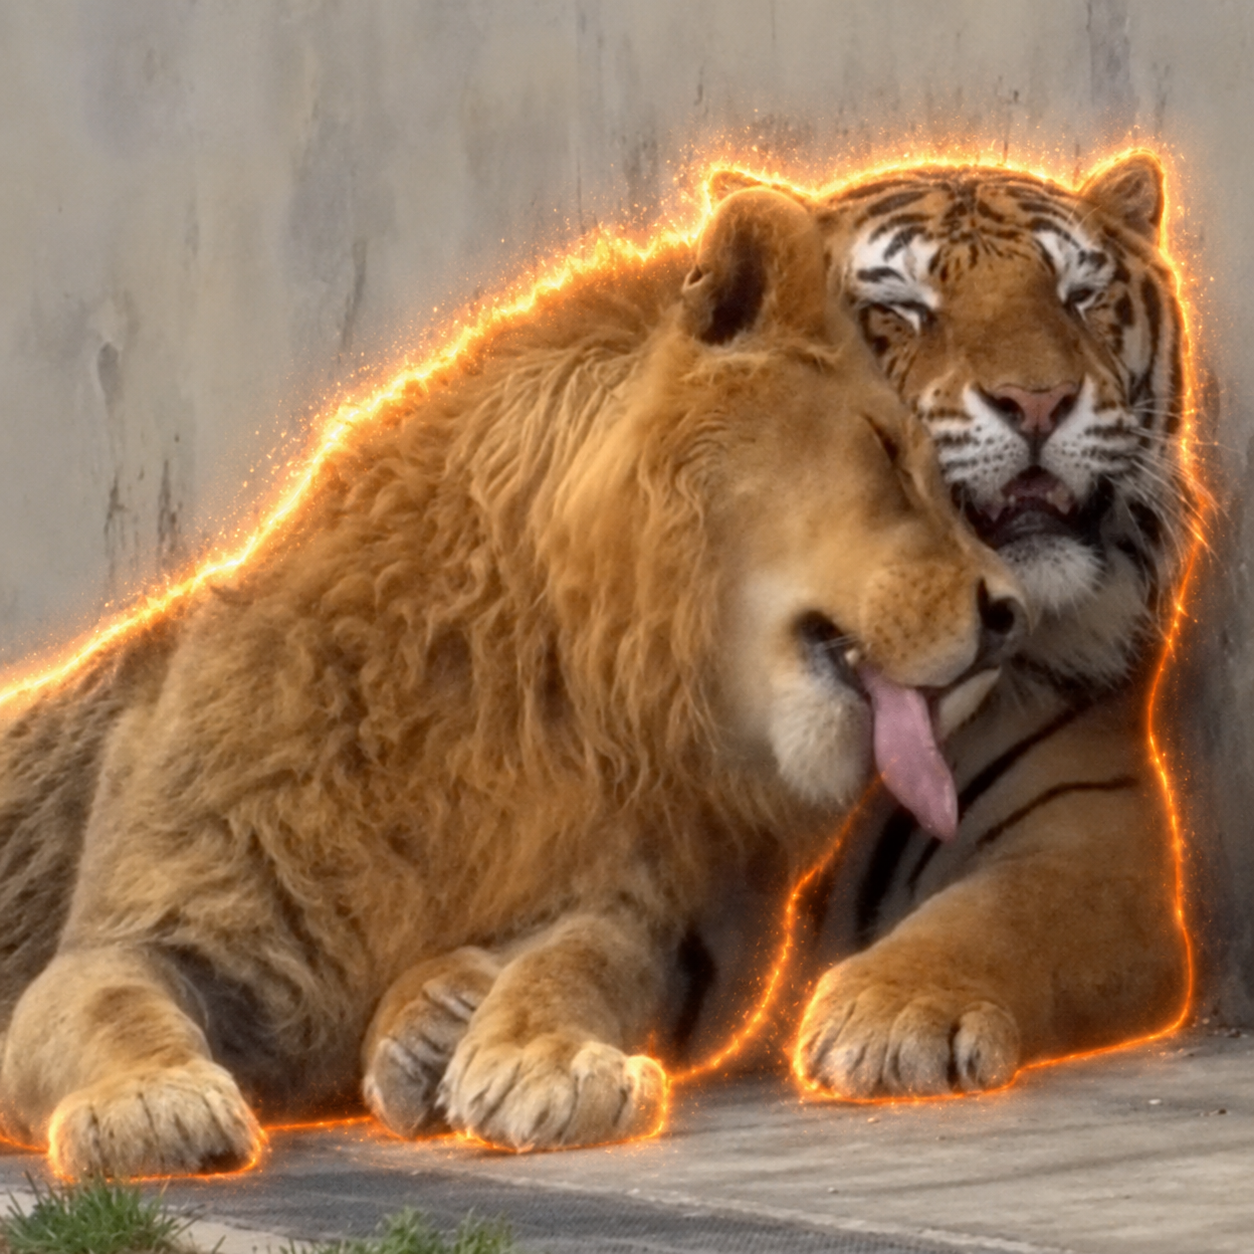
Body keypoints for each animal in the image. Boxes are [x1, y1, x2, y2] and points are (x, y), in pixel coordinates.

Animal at [0, 189, 1025, 1177]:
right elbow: (106, 1008)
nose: (1012, 612)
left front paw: (527, 1053)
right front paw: (150, 1105)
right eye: (886, 451)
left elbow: (581, 963)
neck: (556, 689)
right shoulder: (151, 930)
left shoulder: (640, 914)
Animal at [669, 152, 1195, 1099]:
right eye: (903, 308)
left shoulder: (1087, 839)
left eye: (1078, 295)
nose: (1038, 401)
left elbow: (999, 917)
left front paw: (895, 1017)